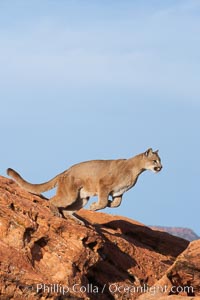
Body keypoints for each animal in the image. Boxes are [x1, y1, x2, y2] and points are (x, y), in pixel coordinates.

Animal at [7, 149, 162, 224]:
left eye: (160, 160)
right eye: (155, 161)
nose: (161, 167)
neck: (137, 170)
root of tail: (65, 171)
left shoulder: (119, 192)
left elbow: (116, 204)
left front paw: (108, 204)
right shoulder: (103, 184)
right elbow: (103, 201)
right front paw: (95, 207)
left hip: (82, 198)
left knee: (67, 211)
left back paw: (79, 221)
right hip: (70, 195)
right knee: (52, 200)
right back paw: (56, 212)